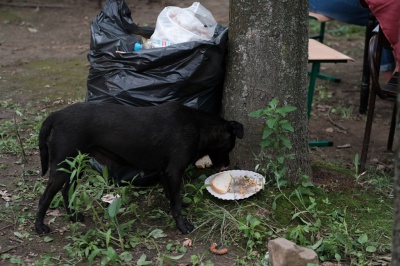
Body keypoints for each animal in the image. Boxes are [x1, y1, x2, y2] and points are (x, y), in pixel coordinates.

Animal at [36, 102, 244, 235]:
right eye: (230, 145)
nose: (227, 164)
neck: (198, 126)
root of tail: (57, 115)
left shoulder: (165, 171)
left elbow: (172, 196)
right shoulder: (174, 171)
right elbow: (175, 204)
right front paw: (182, 226)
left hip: (76, 165)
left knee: (66, 191)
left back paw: (73, 216)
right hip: (62, 167)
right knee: (45, 197)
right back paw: (39, 227)